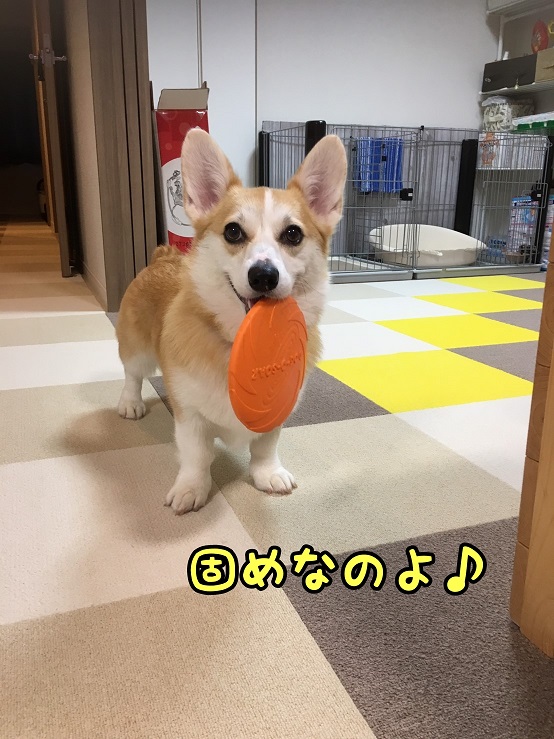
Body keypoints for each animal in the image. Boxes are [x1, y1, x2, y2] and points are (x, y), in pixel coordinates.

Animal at [115, 129, 347, 514]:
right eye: (234, 232)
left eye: (293, 234)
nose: (264, 276)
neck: (242, 343)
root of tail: (163, 255)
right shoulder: (190, 415)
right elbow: (196, 456)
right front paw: (191, 490)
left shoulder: (276, 413)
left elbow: (266, 446)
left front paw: (268, 474)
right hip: (137, 349)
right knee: (132, 375)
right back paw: (131, 404)